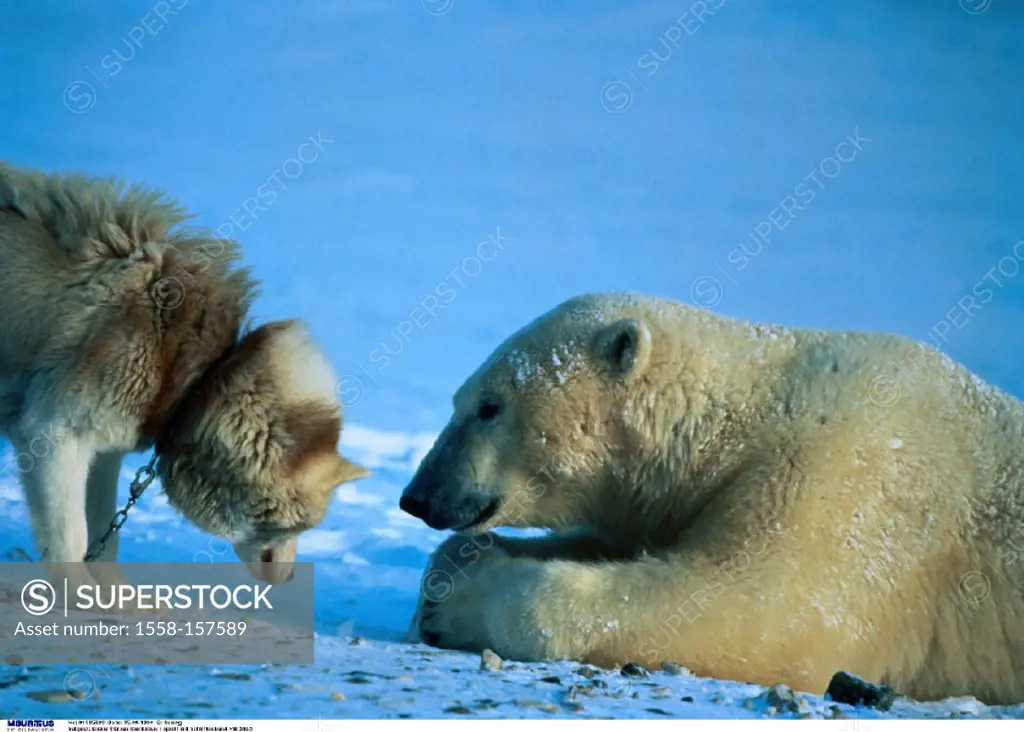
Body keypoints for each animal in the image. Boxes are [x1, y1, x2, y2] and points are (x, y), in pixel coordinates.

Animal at [0, 161, 368, 589]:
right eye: (300, 526)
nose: (292, 577)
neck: (189, 372)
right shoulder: (52, 437)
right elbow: (71, 542)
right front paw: (81, 596)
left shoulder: (103, 454)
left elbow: (105, 540)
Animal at [401, 290, 1024, 704]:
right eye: (459, 399)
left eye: (489, 407)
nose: (418, 495)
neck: (743, 419)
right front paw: (457, 565)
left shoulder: (853, 475)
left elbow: (757, 608)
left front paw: (452, 603)